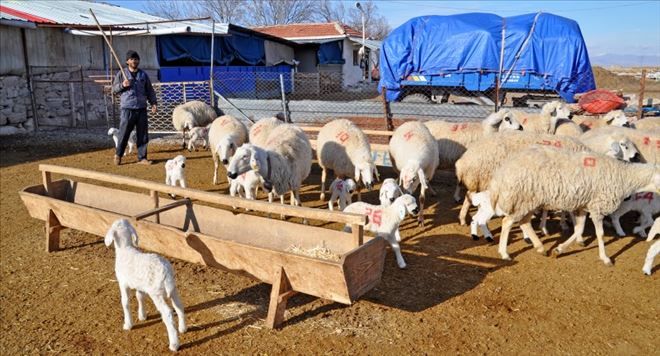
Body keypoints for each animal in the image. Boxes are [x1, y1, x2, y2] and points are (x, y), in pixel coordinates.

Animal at [104, 218, 186, 352]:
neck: (125, 248)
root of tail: (166, 272)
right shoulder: (140, 285)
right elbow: (140, 297)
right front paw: (142, 315)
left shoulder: (122, 283)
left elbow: (125, 302)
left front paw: (128, 324)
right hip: (173, 288)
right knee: (179, 306)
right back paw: (183, 328)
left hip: (156, 292)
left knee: (168, 313)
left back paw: (174, 344)